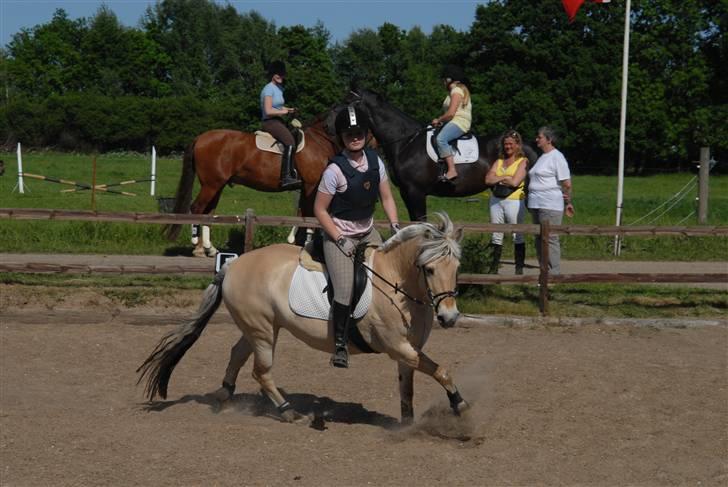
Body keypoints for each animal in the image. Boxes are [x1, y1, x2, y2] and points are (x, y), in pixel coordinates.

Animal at [168, 110, 342, 255]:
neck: (320, 139)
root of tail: (200, 138)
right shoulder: (312, 185)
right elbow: (310, 214)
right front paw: (305, 245)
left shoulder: (306, 188)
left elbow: (301, 213)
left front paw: (293, 241)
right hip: (211, 185)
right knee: (197, 208)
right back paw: (197, 246)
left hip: (217, 185)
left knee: (209, 212)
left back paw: (209, 249)